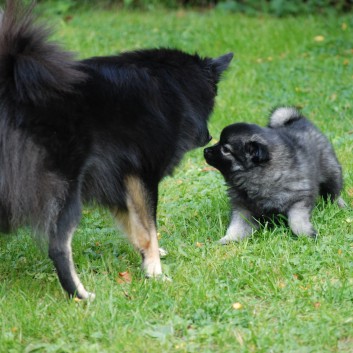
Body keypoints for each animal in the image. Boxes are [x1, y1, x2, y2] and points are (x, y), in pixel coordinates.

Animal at [0, 0, 231, 298]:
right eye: (213, 97)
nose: (209, 136)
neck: (173, 85)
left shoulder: (118, 180)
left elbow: (136, 228)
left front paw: (149, 257)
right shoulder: (142, 176)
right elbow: (149, 226)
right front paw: (155, 272)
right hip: (66, 193)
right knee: (58, 246)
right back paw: (80, 295)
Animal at [204, 106, 344, 242]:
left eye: (225, 149)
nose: (205, 150)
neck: (256, 175)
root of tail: (298, 120)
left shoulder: (299, 199)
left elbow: (295, 220)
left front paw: (306, 233)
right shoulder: (243, 208)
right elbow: (237, 226)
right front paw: (228, 239)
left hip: (331, 170)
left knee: (334, 192)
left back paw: (339, 205)